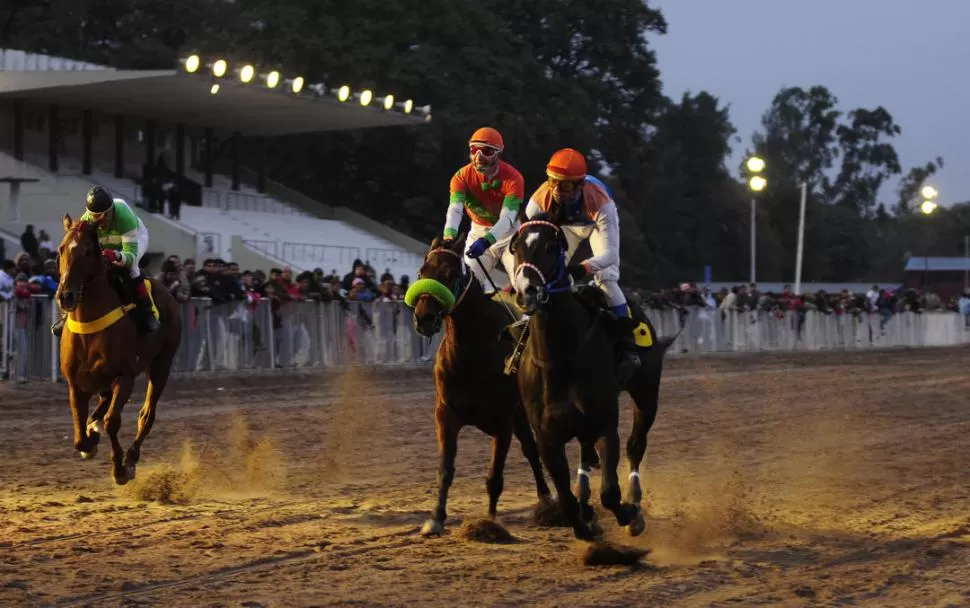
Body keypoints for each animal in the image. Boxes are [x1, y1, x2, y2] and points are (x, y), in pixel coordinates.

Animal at [55, 214, 182, 484]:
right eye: (61, 250)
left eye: (87, 252)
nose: (65, 296)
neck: (89, 325)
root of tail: (168, 293)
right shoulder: (74, 382)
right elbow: (79, 436)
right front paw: (91, 438)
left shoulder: (124, 376)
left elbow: (113, 421)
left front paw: (121, 469)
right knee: (104, 402)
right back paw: (94, 425)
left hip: (161, 365)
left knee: (147, 414)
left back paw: (132, 457)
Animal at [402, 233, 552, 536]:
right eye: (422, 272)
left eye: (449, 274)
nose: (423, 318)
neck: (471, 353)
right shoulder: (446, 414)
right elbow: (446, 470)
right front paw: (435, 518)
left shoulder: (503, 420)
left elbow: (495, 476)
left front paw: (490, 522)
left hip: (524, 412)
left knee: (533, 450)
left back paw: (547, 500)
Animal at [506, 218, 672, 540]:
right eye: (516, 247)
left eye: (550, 247)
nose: (525, 291)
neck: (560, 357)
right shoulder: (546, 438)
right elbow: (566, 500)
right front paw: (586, 522)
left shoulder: (605, 423)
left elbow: (609, 491)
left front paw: (628, 513)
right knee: (585, 451)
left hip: (646, 395)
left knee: (635, 445)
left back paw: (635, 502)